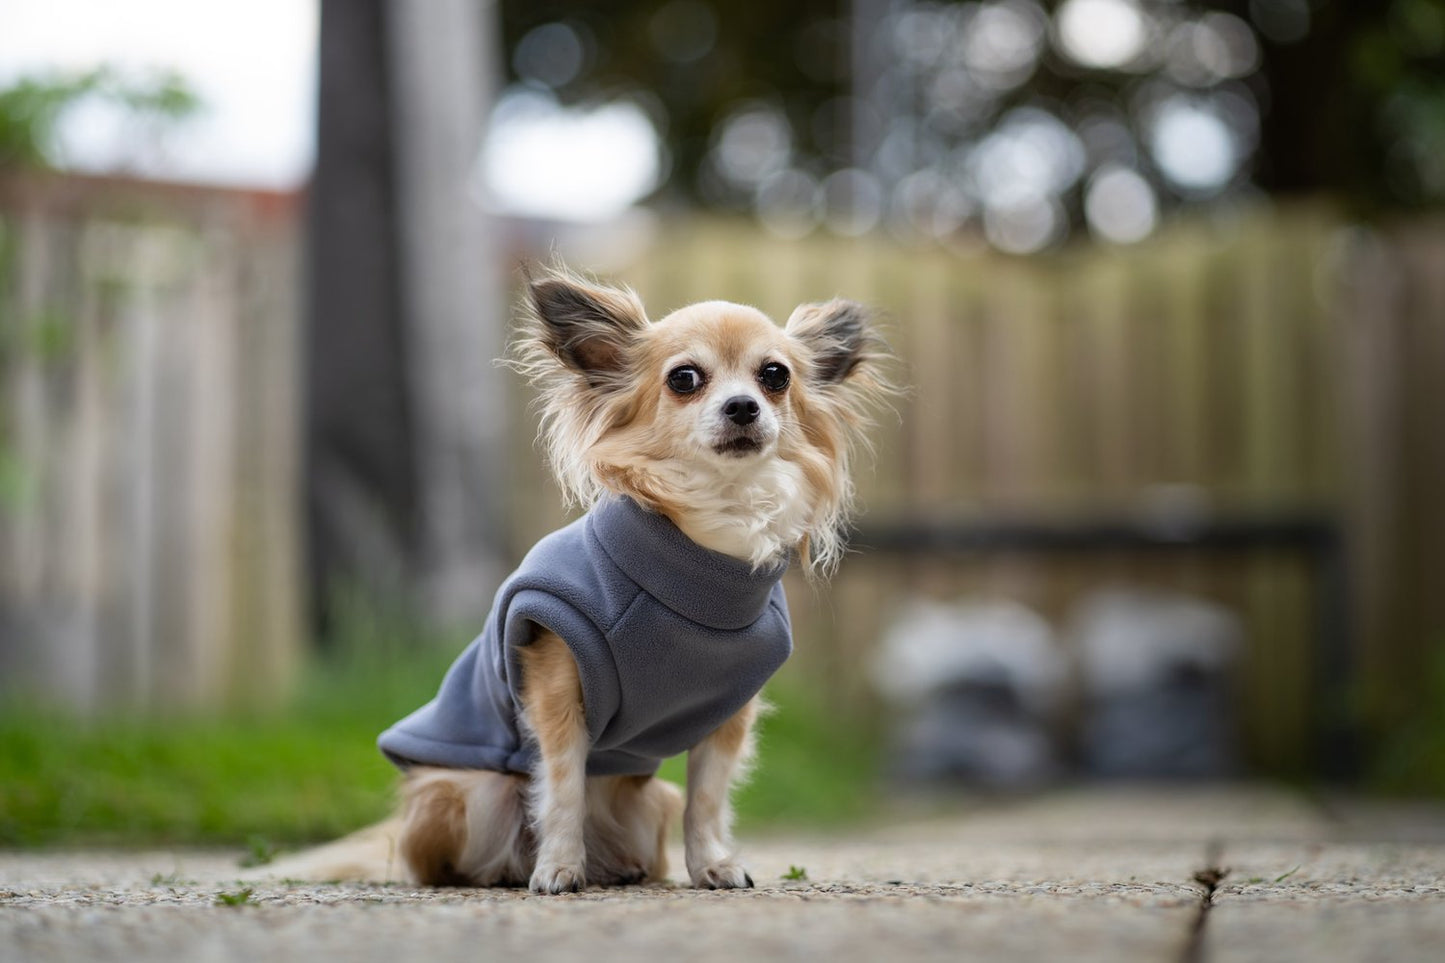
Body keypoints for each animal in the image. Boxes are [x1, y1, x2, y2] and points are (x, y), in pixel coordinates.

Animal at [265, 264, 884, 890]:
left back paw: (624, 869)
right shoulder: (558, 689)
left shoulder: (726, 713)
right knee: (438, 859)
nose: (743, 406)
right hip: (463, 794)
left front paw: (711, 864)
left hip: (648, 803)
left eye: (775, 376)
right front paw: (559, 866)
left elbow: (706, 800)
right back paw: (507, 872)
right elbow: (562, 791)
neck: (698, 550)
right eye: (684, 378)